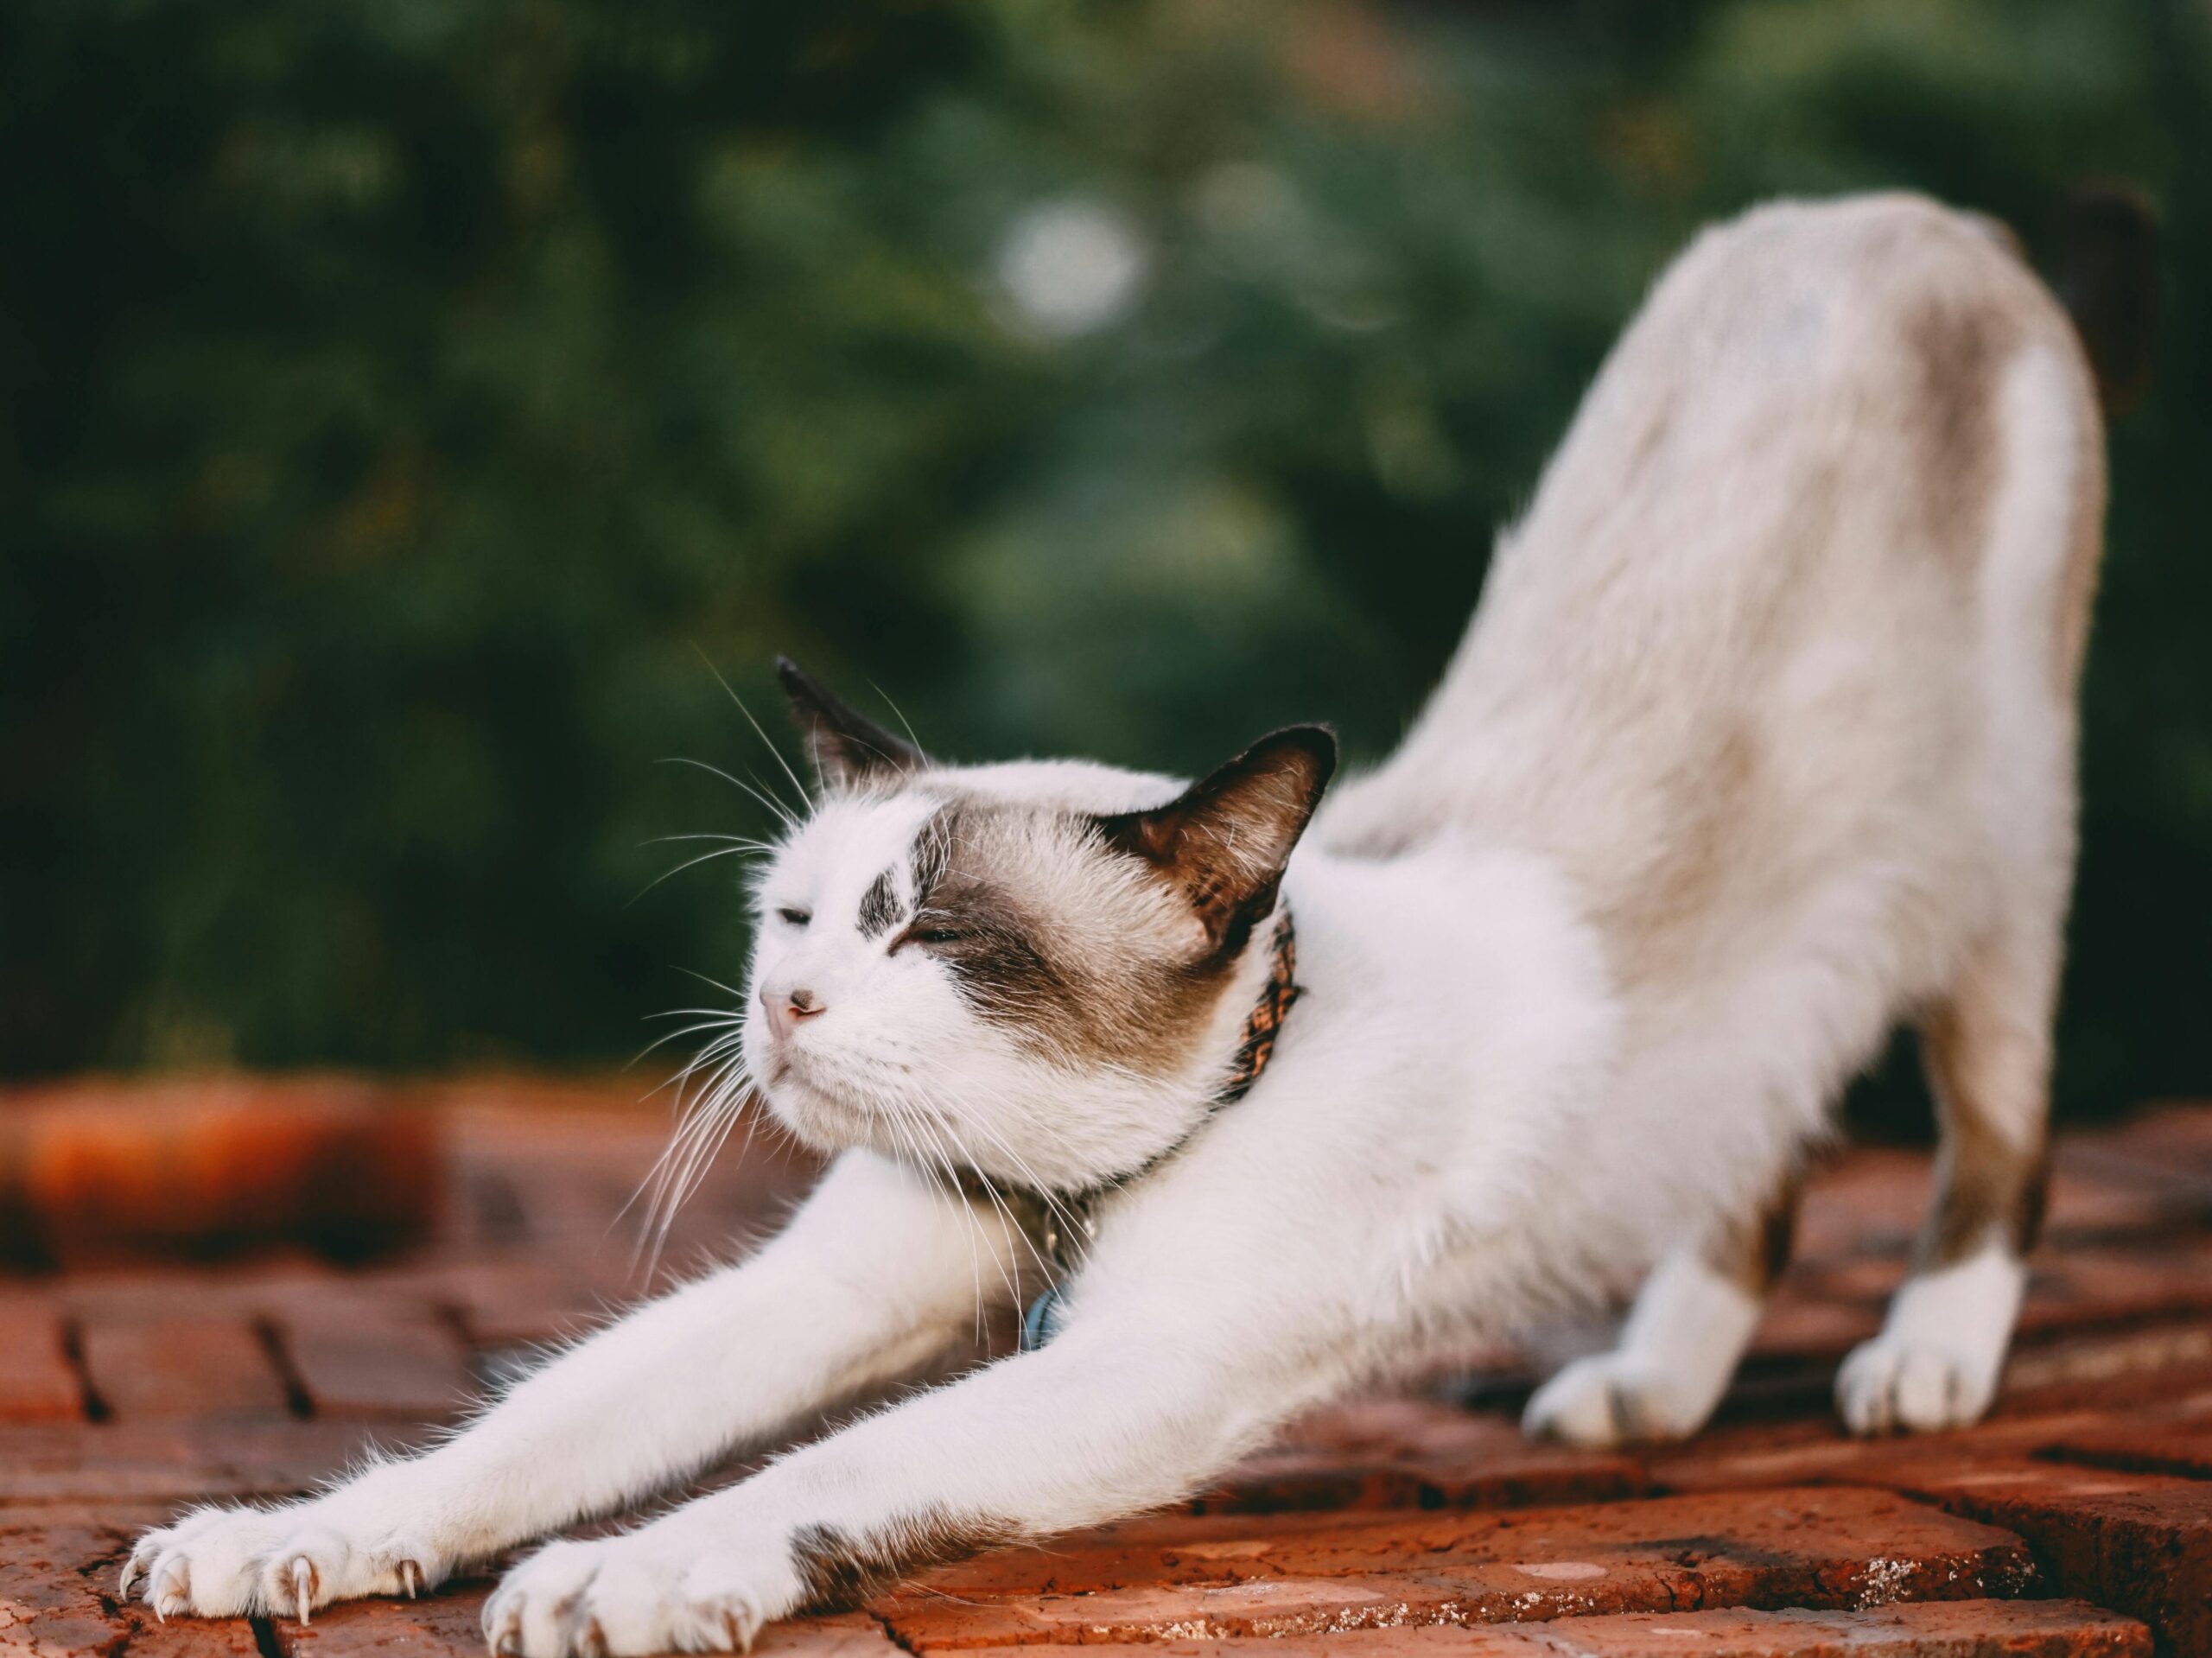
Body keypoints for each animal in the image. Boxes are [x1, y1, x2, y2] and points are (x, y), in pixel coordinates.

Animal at [125, 191, 2123, 1653]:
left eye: (930, 935)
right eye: (796, 917)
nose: (784, 1007)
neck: (1061, 1194)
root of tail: (1898, 212)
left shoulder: (1142, 1365)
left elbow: (829, 1467)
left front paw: (621, 1576)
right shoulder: (830, 1287)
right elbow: (517, 1434)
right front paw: (273, 1541)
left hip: (1988, 880)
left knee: (1996, 1130)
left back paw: (1922, 1361)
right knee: (1759, 1145)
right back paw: (1643, 1387)